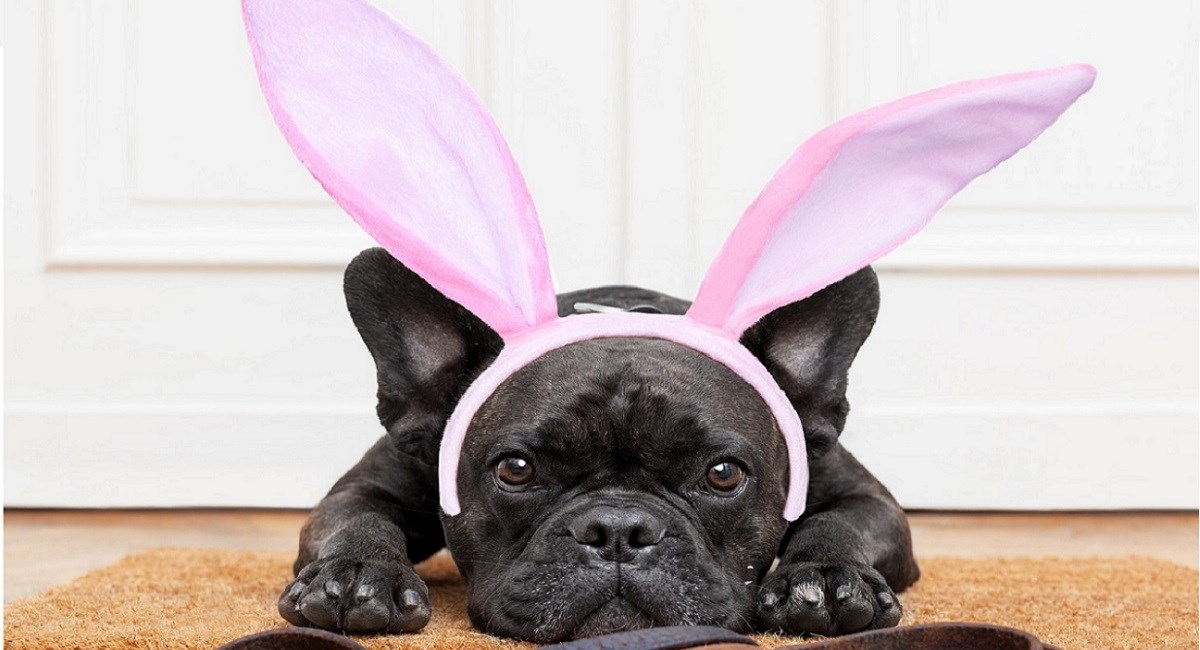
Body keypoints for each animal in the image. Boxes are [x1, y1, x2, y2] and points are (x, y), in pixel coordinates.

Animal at [278, 248, 916, 642]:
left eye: (724, 474)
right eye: (515, 469)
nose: (617, 530)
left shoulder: (867, 499)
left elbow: (840, 522)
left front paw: (828, 577)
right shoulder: (369, 487)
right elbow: (358, 519)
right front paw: (358, 573)